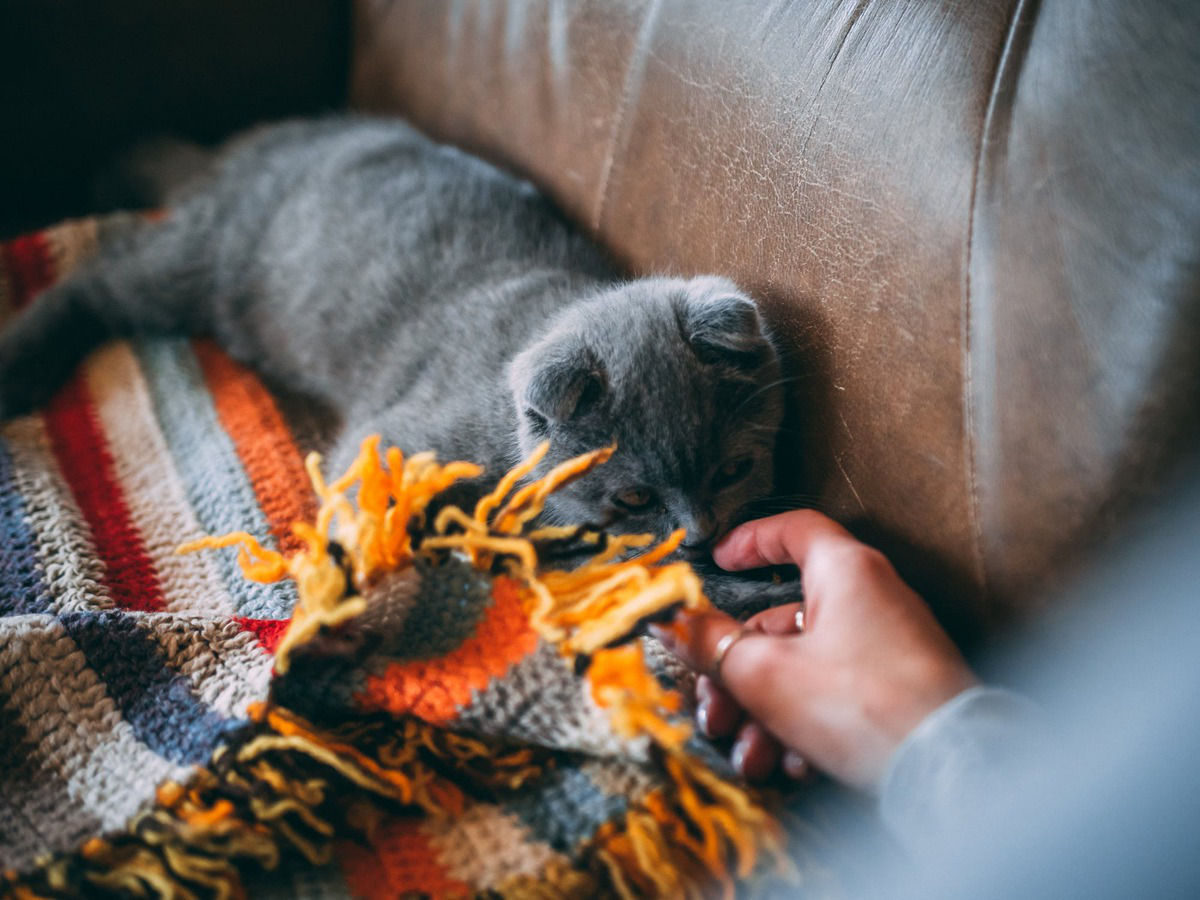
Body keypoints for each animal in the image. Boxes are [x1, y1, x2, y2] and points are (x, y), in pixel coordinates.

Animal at [0, 116, 799, 615]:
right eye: (634, 496)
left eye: (733, 470)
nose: (699, 531)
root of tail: (253, 148)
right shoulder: (398, 441)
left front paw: (755, 586)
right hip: (200, 263)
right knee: (97, 277)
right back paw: (21, 366)